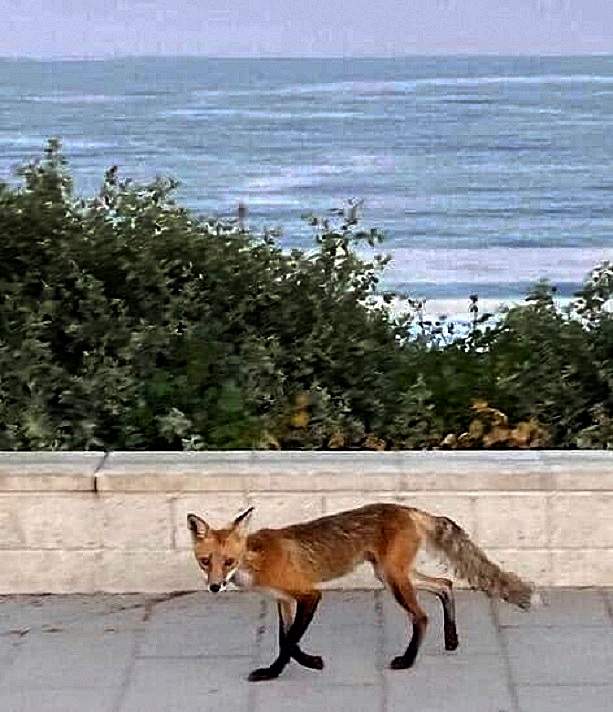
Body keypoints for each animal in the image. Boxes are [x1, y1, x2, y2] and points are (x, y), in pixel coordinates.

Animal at [187, 502, 538, 682]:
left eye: (228, 561)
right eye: (205, 562)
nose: (215, 586)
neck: (255, 560)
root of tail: (407, 509)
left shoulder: (309, 595)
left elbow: (289, 641)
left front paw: (291, 668)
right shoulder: (283, 600)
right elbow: (286, 639)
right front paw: (293, 665)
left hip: (394, 580)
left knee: (422, 617)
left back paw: (408, 661)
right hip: (391, 574)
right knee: (445, 585)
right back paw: (451, 639)